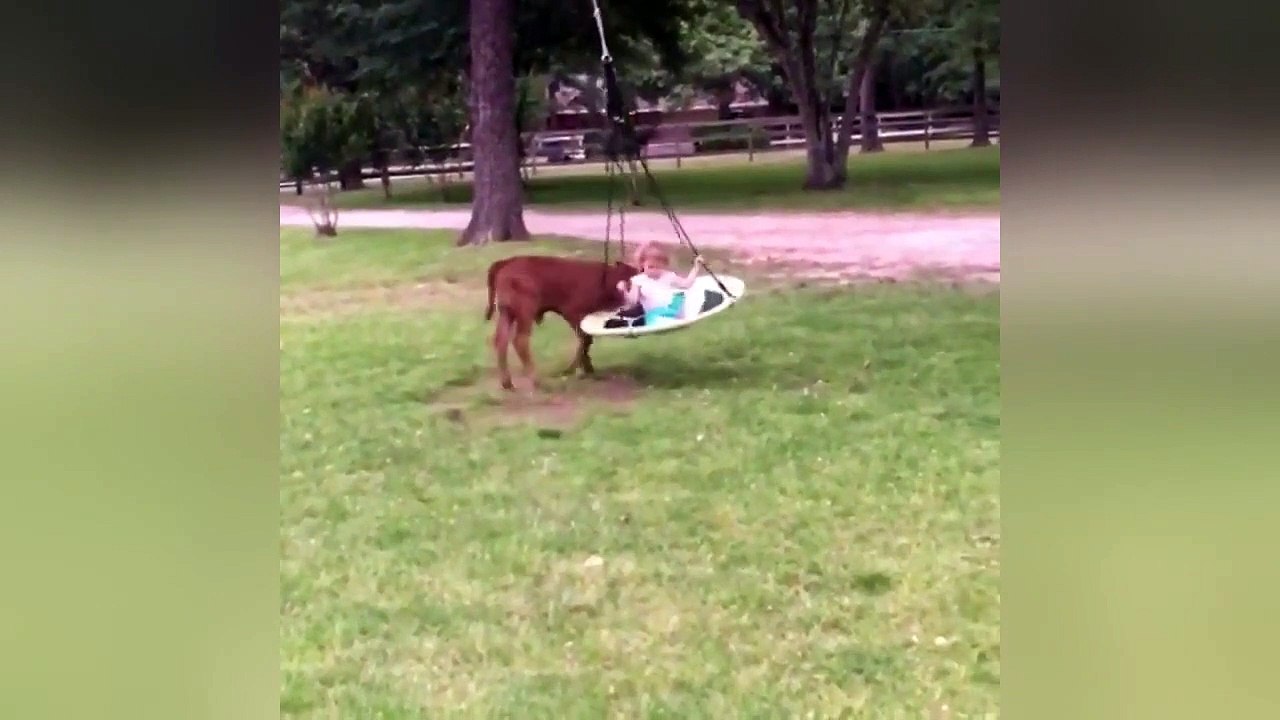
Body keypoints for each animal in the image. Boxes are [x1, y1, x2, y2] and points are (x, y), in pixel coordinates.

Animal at [484, 256, 639, 390]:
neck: (605, 279)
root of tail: (506, 262)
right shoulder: (573, 313)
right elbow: (585, 339)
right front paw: (572, 370)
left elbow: (586, 340)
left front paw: (587, 368)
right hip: (525, 312)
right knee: (520, 340)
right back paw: (537, 381)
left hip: (507, 313)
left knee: (501, 340)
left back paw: (507, 383)